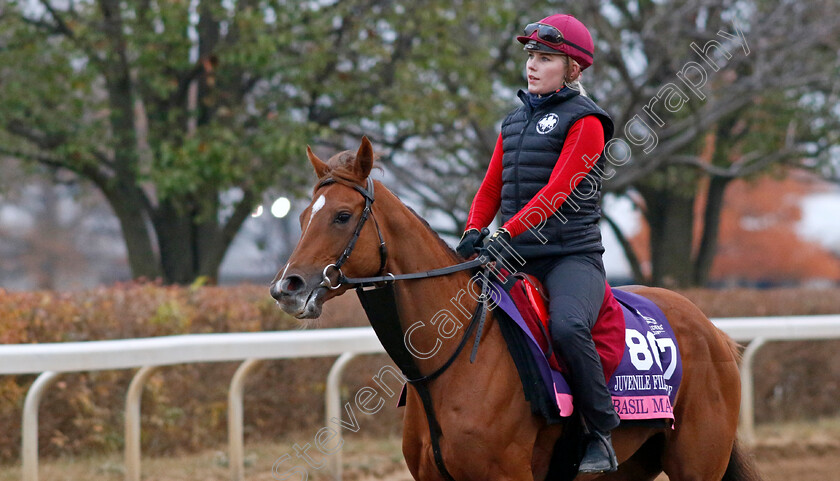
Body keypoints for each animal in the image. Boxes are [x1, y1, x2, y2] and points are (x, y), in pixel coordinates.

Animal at [270, 136, 760, 480]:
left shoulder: (507, 475)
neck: (450, 364)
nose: (286, 287)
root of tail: (713, 331)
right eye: (302, 217)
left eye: (342, 216)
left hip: (698, 462)